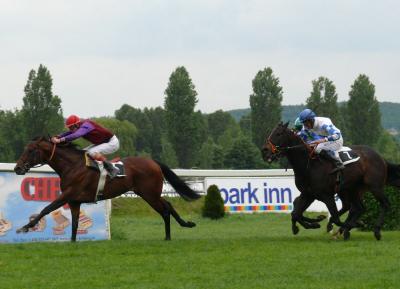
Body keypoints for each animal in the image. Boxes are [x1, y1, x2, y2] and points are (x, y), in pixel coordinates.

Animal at [14, 136, 202, 240]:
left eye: (30, 150)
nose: (17, 168)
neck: (72, 166)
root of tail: (153, 162)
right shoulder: (74, 201)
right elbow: (74, 224)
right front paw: (73, 242)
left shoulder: (68, 194)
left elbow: (46, 208)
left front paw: (24, 227)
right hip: (148, 193)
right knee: (168, 205)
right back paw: (185, 225)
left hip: (149, 194)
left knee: (165, 209)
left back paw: (169, 235)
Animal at [260, 121, 400, 238]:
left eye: (278, 133)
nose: (265, 150)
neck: (309, 165)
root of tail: (380, 157)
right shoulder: (308, 194)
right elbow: (296, 213)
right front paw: (313, 224)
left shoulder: (326, 195)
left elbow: (336, 218)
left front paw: (354, 225)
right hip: (352, 189)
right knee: (357, 208)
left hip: (375, 186)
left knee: (384, 204)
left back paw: (375, 230)